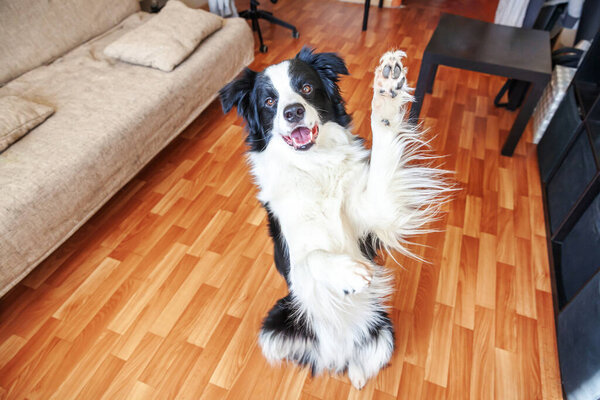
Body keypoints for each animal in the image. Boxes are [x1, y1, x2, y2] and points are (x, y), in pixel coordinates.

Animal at [218, 48, 448, 390]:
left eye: (306, 88)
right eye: (270, 101)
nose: (293, 112)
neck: (315, 165)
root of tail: (335, 353)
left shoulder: (377, 207)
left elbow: (384, 150)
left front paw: (387, 93)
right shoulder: (294, 267)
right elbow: (313, 256)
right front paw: (348, 274)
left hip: (383, 328)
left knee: (361, 362)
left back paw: (357, 377)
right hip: (276, 322)